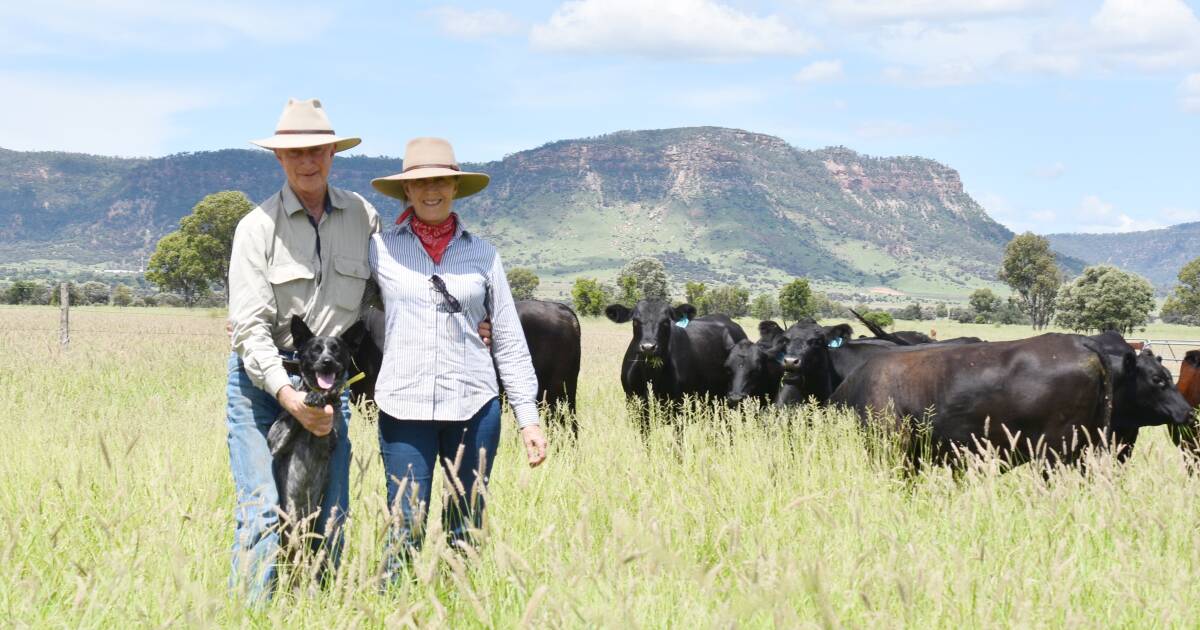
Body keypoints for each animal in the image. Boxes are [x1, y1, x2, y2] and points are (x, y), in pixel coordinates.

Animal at [268, 314, 364, 530]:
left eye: (336, 350)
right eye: (315, 350)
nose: (327, 362)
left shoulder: (328, 443)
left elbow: (329, 430)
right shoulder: (275, 442)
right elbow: (294, 417)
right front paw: (309, 397)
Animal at [604, 300, 744, 422]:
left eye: (666, 322)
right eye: (635, 321)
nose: (648, 347)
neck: (651, 376)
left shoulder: (680, 408)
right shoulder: (634, 406)